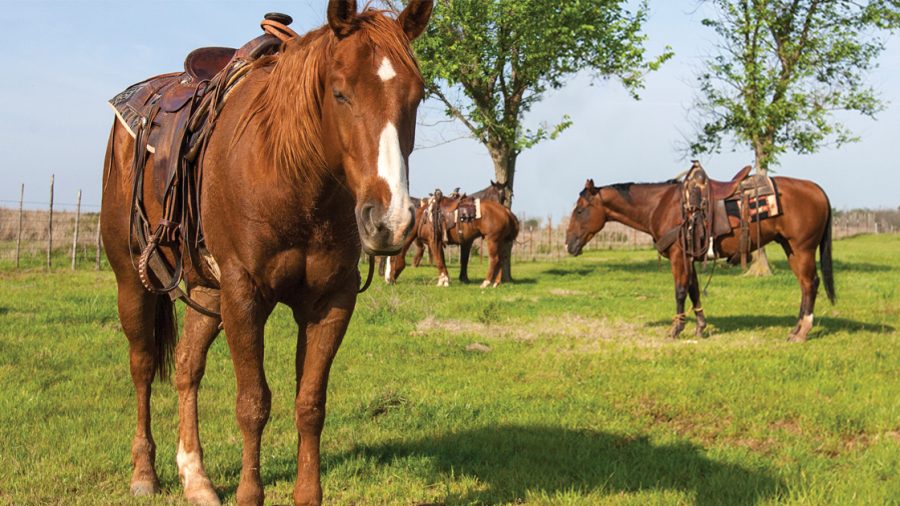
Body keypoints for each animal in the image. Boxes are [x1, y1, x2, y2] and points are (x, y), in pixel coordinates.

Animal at [100, 2, 432, 505]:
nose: (389, 219)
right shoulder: (244, 295)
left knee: (186, 368)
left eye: (417, 96)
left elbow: (310, 404)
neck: (291, 176)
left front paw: (307, 493)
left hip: (208, 291)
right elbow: (252, 404)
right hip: (131, 278)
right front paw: (248, 493)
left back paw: (196, 478)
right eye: (340, 92)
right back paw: (145, 472)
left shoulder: (330, 301)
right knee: (142, 366)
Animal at [565, 175, 834, 342]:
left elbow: (680, 291)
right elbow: (694, 290)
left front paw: (675, 329)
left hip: (802, 248)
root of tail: (817, 190)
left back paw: (802, 332)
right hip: (791, 249)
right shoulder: (690, 258)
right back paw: (796, 329)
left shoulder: (678, 256)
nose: (569, 244)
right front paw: (700, 327)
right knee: (805, 286)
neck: (661, 206)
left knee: (810, 284)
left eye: (579, 210)